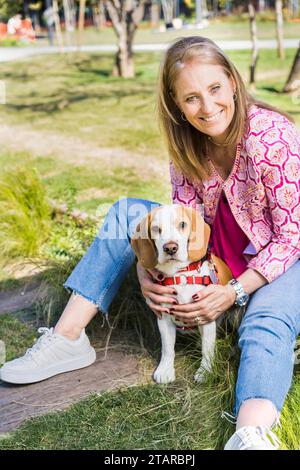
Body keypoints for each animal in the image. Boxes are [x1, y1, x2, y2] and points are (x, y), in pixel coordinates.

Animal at [131, 204, 232, 384]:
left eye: (182, 225)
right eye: (156, 229)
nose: (170, 248)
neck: (180, 274)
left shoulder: (206, 316)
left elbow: (207, 348)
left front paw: (205, 371)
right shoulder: (164, 317)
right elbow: (167, 347)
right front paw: (165, 369)